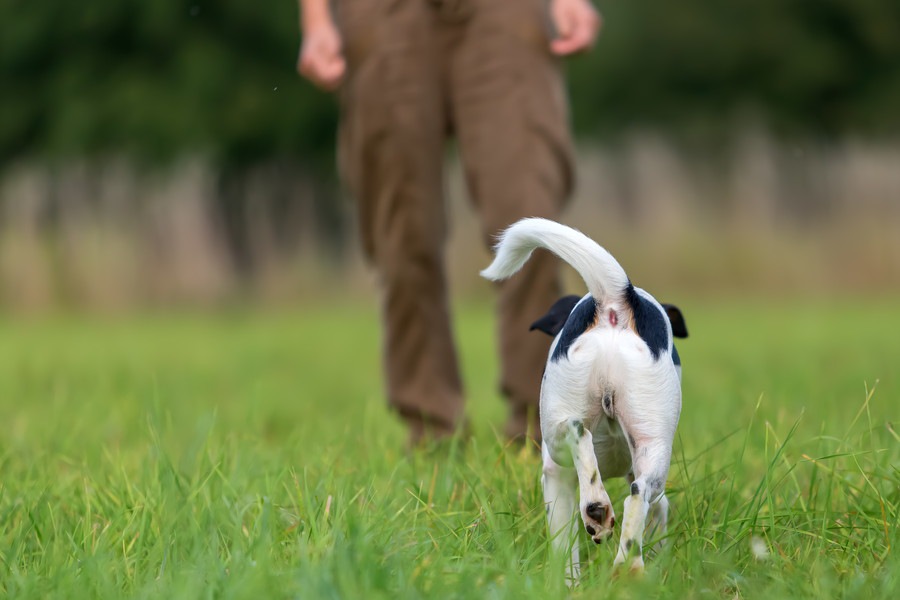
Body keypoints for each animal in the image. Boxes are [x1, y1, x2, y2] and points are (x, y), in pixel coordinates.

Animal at [486, 218, 688, 580]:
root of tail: (613, 302)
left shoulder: (555, 478)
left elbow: (565, 550)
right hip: (651, 445)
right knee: (636, 494)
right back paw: (626, 564)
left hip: (558, 443)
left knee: (579, 433)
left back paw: (597, 509)